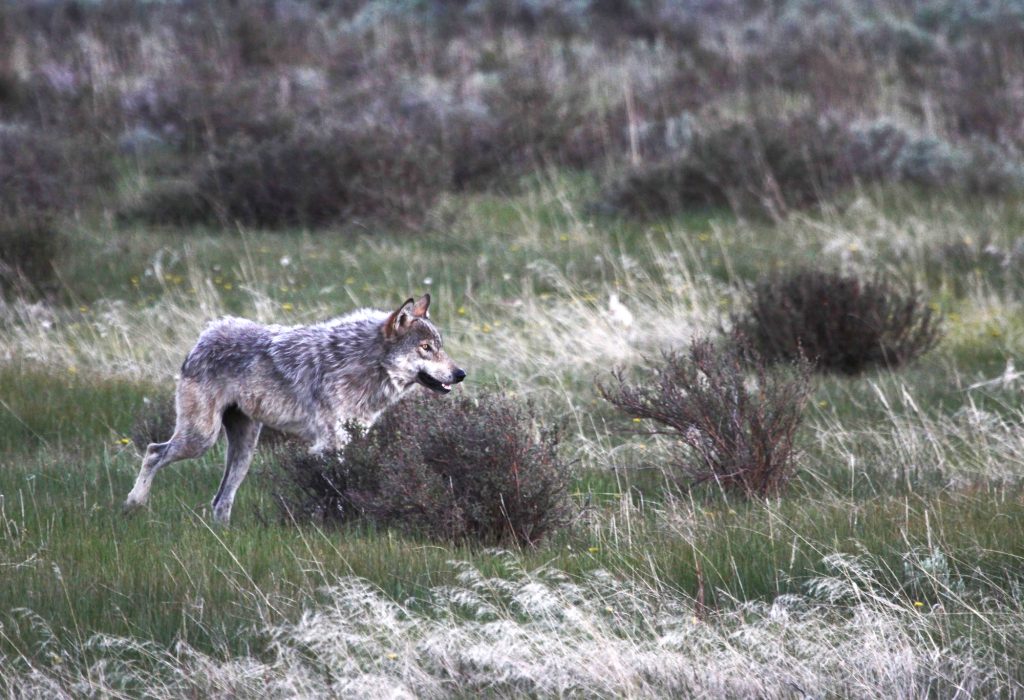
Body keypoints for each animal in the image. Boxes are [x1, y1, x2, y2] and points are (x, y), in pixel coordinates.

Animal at [123, 294, 465, 524]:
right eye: (426, 348)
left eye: (440, 347)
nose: (461, 373)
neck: (364, 364)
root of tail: (207, 333)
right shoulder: (330, 443)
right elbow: (336, 486)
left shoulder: (352, 438)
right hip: (201, 439)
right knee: (153, 451)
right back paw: (134, 502)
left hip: (244, 450)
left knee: (220, 500)